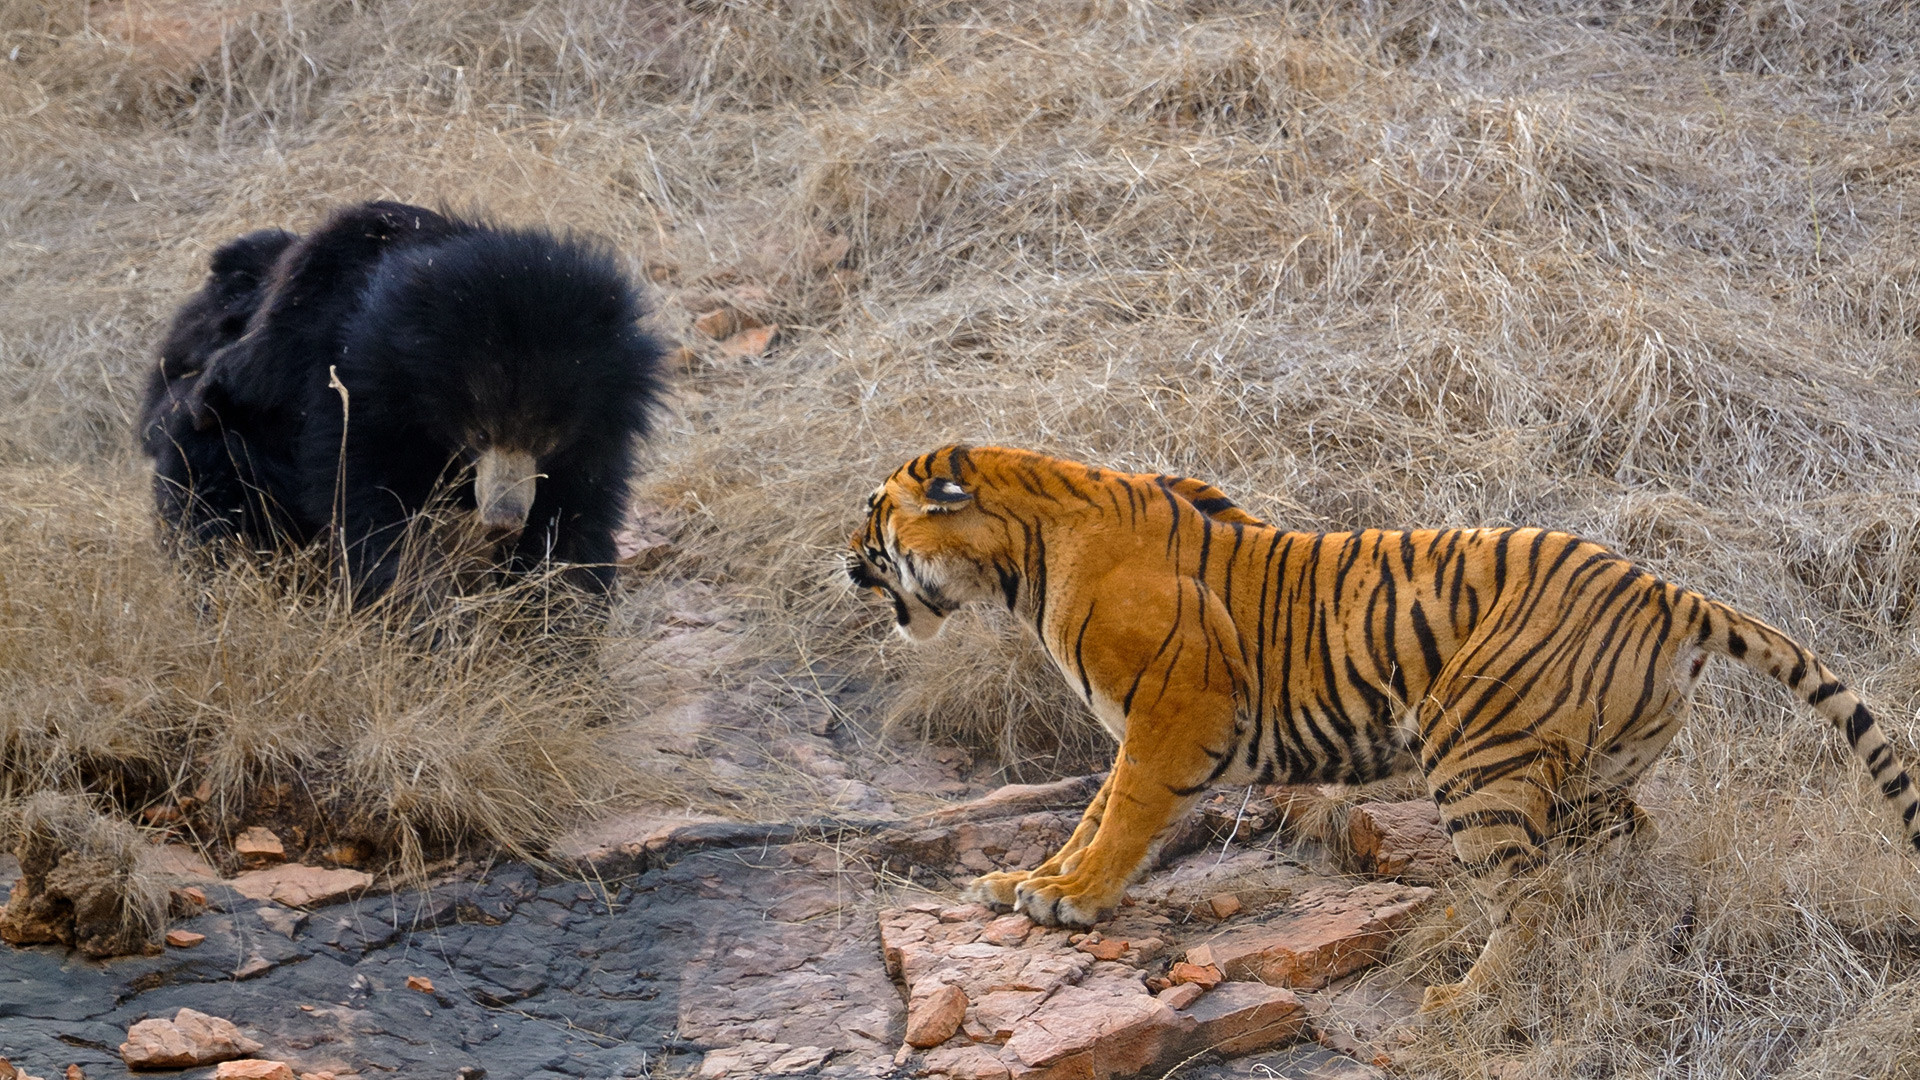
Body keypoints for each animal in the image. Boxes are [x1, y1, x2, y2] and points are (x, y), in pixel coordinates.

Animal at [139, 200, 667, 604]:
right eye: (479, 431)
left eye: (546, 439)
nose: (503, 520)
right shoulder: (354, 397)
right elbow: (374, 510)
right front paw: (426, 622)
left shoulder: (598, 433)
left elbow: (575, 518)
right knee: (207, 477)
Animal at [846, 444, 1920, 1012]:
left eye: (873, 513)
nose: (845, 561)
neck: (1021, 562)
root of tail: (1668, 590)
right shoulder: (1139, 727)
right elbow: (1092, 815)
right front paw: (1028, 882)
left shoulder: (1172, 716)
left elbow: (1121, 818)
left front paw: (1068, 901)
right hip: (1588, 774)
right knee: (1625, 849)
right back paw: (1637, 943)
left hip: (1473, 752)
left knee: (1528, 893)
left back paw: (1464, 998)